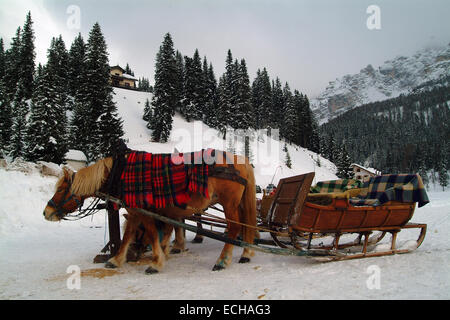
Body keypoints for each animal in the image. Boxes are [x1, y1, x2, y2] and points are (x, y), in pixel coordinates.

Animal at [44, 151, 256, 274]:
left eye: (61, 189)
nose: (47, 212)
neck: (120, 173)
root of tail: (241, 161)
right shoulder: (135, 211)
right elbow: (128, 234)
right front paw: (116, 259)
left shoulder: (144, 211)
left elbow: (153, 234)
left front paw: (156, 262)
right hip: (238, 203)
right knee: (246, 225)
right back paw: (246, 253)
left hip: (228, 203)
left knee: (234, 227)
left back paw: (222, 261)